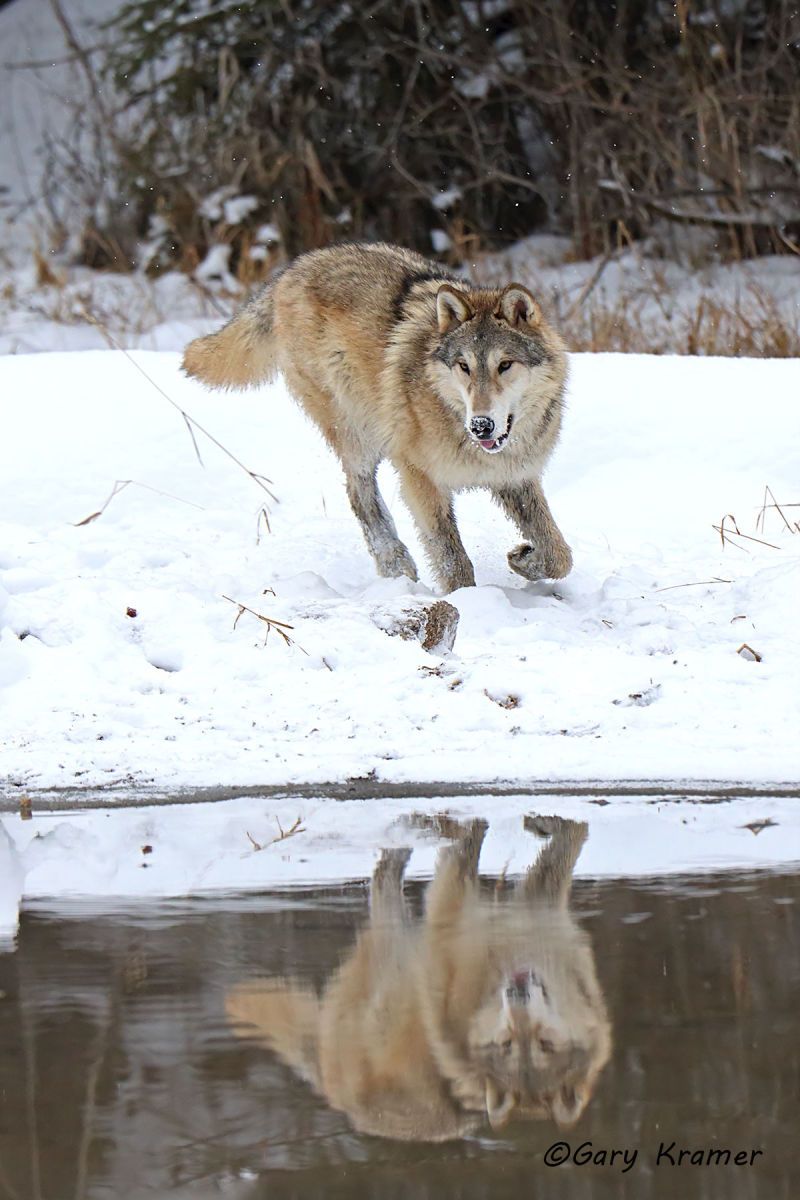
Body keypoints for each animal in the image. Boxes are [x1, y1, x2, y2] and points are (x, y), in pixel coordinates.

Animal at [183, 242, 572, 593]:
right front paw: (470, 601)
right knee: (358, 493)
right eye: (464, 366)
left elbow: (560, 554)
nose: (481, 425)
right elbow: (452, 559)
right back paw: (394, 561)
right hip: (359, 432)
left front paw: (524, 559)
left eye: (504, 365)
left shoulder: (515, 476)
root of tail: (294, 268)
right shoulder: (419, 478)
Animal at [225, 815, 611, 1142]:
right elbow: (467, 852)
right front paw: (473, 827)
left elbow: (568, 844)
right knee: (384, 878)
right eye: (506, 1044)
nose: (515, 991)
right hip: (392, 949)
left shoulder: (538, 908)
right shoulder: (451, 912)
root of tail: (339, 1099)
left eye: (544, 1043)